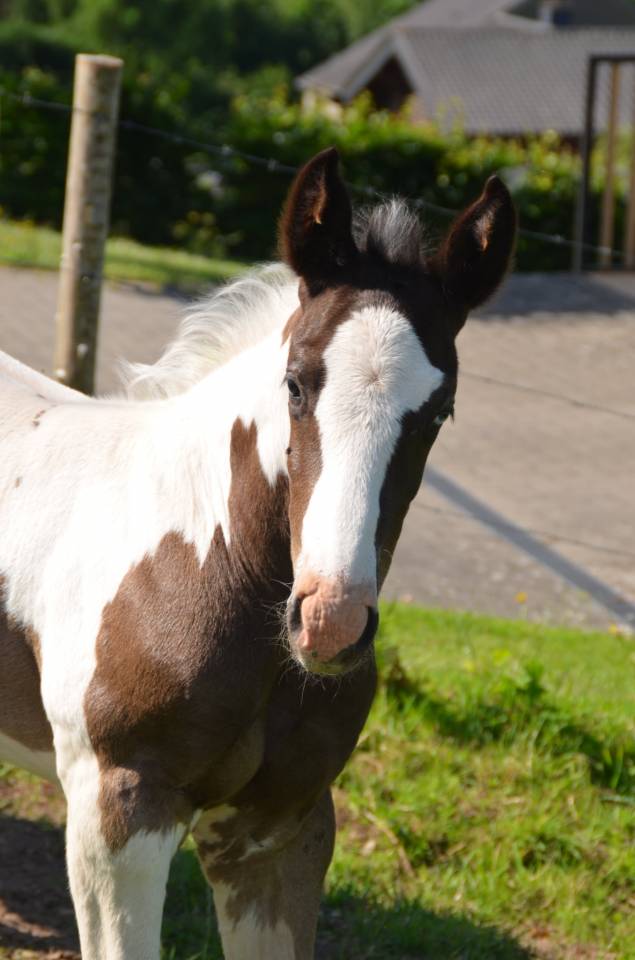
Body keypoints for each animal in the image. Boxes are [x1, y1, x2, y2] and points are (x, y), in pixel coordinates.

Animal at [0, 147, 516, 959]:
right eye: (295, 384)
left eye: (439, 411)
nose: (331, 623)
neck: (195, 560)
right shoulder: (115, 816)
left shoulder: (282, 828)